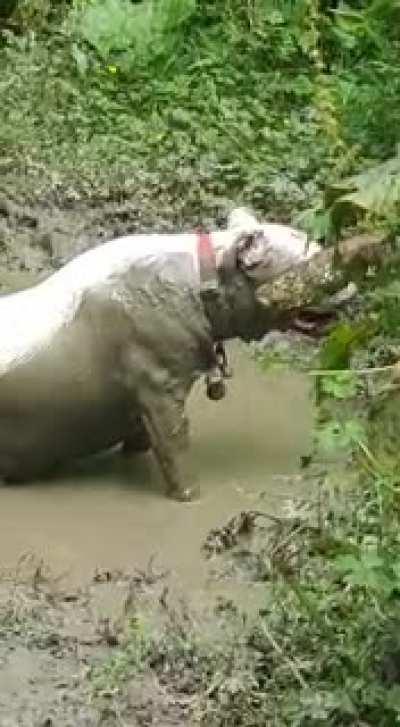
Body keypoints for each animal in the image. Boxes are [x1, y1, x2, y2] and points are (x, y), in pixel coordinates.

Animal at [0, 208, 380, 500]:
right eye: (314, 256)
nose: (357, 285)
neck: (205, 285)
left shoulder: (138, 409)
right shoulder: (159, 388)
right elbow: (176, 453)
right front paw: (191, 498)